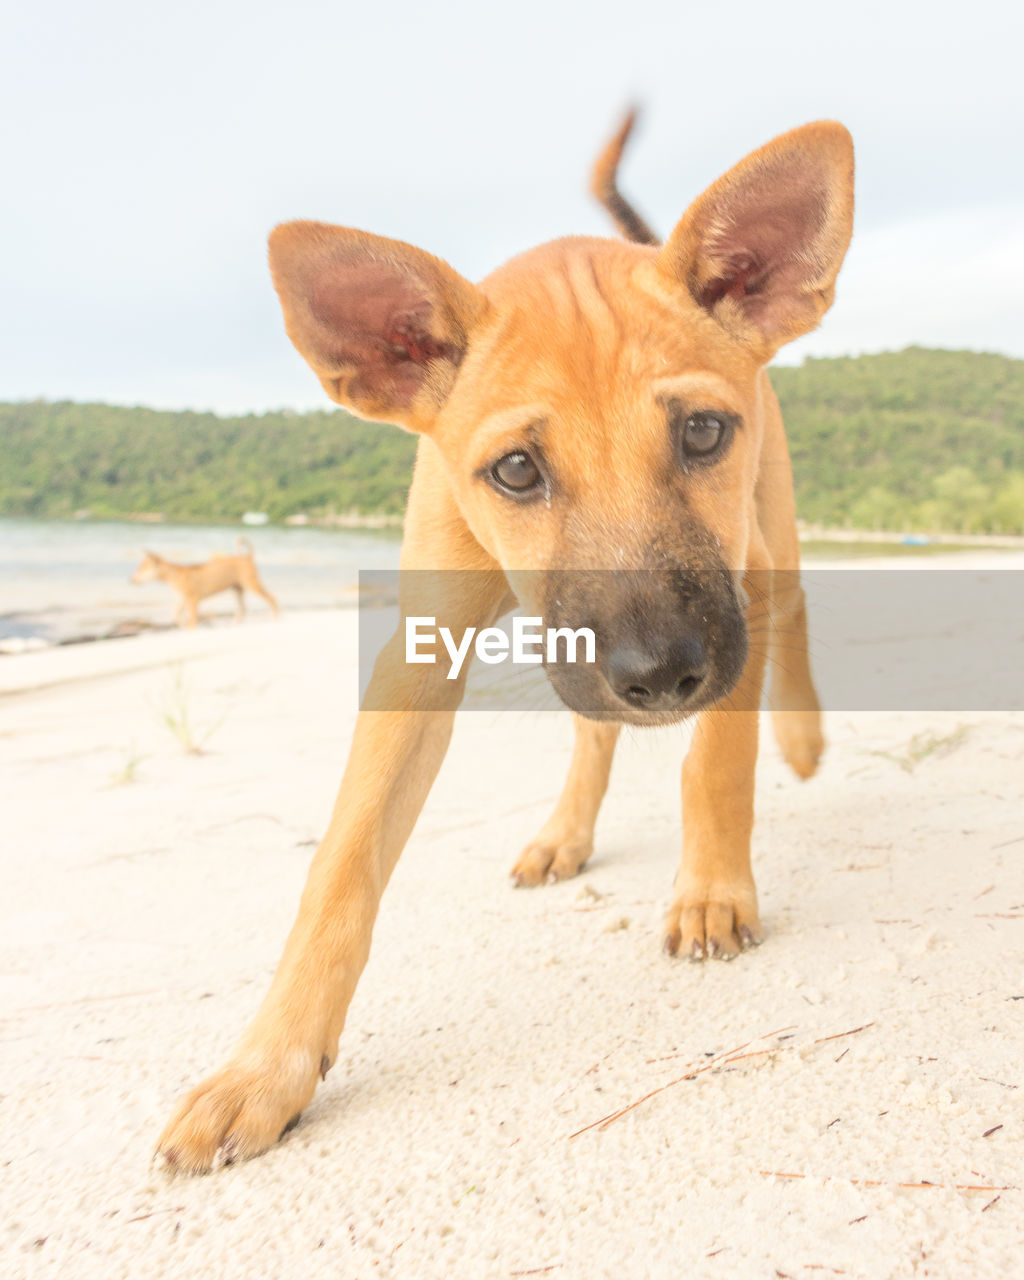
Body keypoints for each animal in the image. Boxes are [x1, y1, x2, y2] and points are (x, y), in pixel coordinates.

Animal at [131, 535, 280, 624]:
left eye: (142, 569)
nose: (131, 580)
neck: (174, 575)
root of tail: (247, 557)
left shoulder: (193, 601)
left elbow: (192, 621)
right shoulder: (183, 599)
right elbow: (176, 615)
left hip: (252, 584)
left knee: (271, 598)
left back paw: (277, 617)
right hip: (237, 589)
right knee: (243, 609)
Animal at [156, 115, 849, 1172]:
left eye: (700, 431)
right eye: (516, 470)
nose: (661, 677)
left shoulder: (735, 594)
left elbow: (717, 763)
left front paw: (711, 890)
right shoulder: (419, 654)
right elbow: (342, 864)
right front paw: (266, 1066)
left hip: (771, 531)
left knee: (793, 621)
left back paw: (801, 741)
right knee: (595, 728)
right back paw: (566, 830)